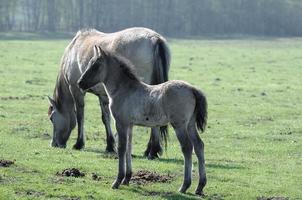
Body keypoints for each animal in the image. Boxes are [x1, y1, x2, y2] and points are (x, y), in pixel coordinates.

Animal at [47, 27, 170, 159]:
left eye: (52, 118)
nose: (54, 144)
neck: (72, 51)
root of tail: (155, 39)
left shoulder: (76, 90)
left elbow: (80, 116)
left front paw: (79, 143)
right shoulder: (103, 95)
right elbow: (106, 118)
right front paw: (110, 145)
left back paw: (152, 151)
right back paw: (150, 150)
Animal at [77, 45, 208, 195]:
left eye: (96, 65)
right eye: (89, 63)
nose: (80, 83)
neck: (124, 89)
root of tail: (192, 89)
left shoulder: (121, 123)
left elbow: (121, 148)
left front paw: (117, 181)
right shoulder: (130, 125)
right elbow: (128, 147)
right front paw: (127, 179)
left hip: (179, 125)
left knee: (187, 148)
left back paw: (184, 186)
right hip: (190, 125)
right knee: (199, 146)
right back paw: (200, 186)